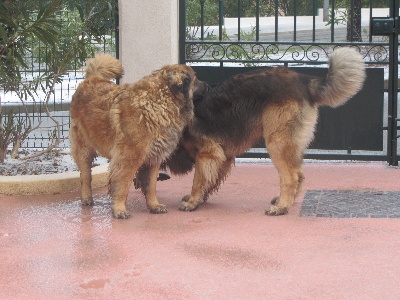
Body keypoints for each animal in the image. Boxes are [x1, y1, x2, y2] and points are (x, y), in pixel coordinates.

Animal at [70, 53, 208, 218]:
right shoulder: (128, 158)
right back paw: (86, 198)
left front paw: (154, 205)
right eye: (195, 79)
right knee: (85, 176)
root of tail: (92, 79)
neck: (160, 103)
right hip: (84, 148)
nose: (208, 85)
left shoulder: (154, 158)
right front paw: (119, 209)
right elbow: (122, 185)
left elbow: (151, 185)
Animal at [137, 47, 366, 216]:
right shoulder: (223, 156)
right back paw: (286, 201)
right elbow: (210, 180)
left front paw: (192, 201)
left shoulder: (208, 153)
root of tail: (304, 80)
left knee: (291, 177)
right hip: (290, 144)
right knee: (299, 174)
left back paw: (281, 207)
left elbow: (198, 180)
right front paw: (199, 199)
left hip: (276, 141)